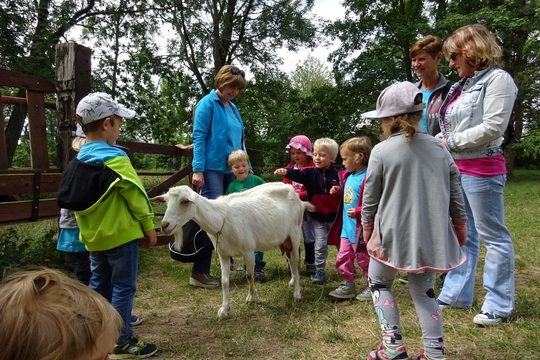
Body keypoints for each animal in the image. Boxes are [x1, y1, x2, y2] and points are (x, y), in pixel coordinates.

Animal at [152, 183, 314, 318]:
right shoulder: (223, 254)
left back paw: (297, 293)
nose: (165, 225)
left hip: (295, 233)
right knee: (290, 259)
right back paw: (293, 281)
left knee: (296, 260)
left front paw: (252, 297)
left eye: (184, 201)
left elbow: (249, 275)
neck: (220, 219)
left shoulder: (248, 250)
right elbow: (224, 282)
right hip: (284, 238)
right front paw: (224, 309)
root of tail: (298, 198)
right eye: (166, 201)